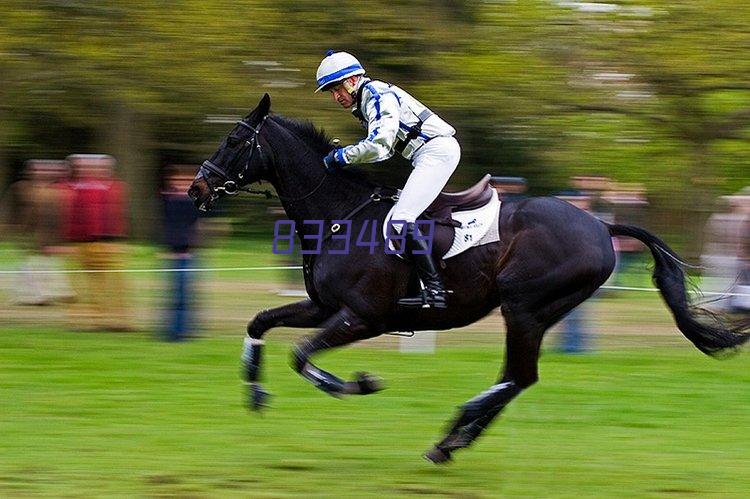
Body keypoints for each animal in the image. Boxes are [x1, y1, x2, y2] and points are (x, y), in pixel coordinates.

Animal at [187, 94, 748, 464]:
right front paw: (255, 393)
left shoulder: (363, 317)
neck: (339, 216)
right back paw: (452, 439)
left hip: (524, 308)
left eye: (234, 139)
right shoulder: (325, 308)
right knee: (515, 378)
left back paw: (454, 429)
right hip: (531, 313)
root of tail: (601, 224)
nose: (196, 189)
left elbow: (302, 355)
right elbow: (261, 323)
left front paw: (359, 384)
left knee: (519, 377)